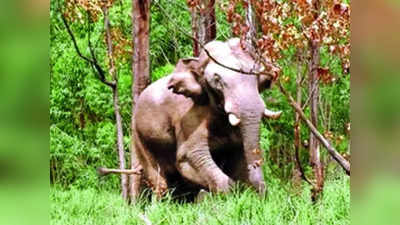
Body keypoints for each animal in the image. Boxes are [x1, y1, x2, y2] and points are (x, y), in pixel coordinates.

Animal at [133, 38, 280, 197]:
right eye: (217, 78)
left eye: (257, 76)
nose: (257, 164)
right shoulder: (188, 116)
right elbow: (189, 155)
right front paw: (229, 193)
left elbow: (238, 152)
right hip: (139, 137)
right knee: (159, 183)